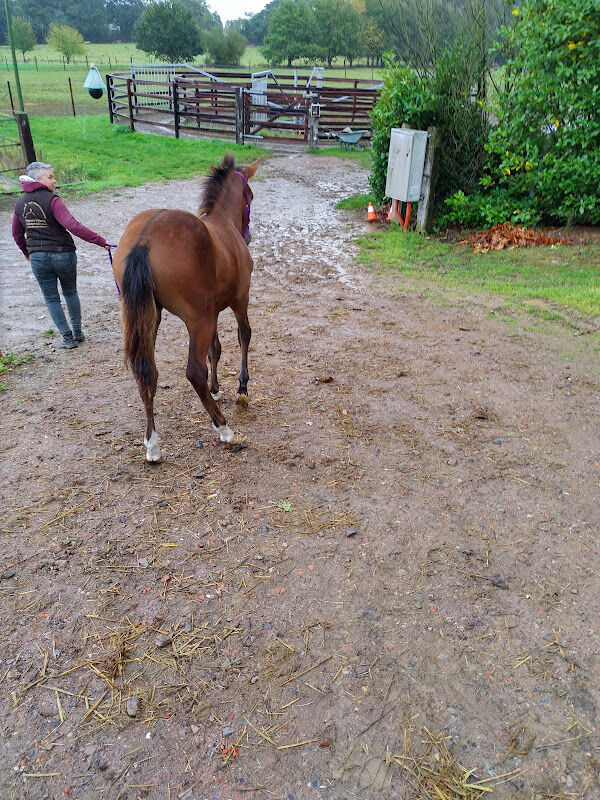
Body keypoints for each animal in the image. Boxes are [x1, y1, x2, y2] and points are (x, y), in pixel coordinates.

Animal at [112, 155, 258, 462]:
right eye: (249, 195)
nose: (248, 236)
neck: (222, 224)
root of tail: (144, 239)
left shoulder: (213, 311)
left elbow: (216, 349)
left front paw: (216, 389)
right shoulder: (239, 301)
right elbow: (243, 337)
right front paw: (242, 388)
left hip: (150, 317)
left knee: (147, 373)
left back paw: (152, 444)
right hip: (196, 319)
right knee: (194, 371)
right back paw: (223, 428)